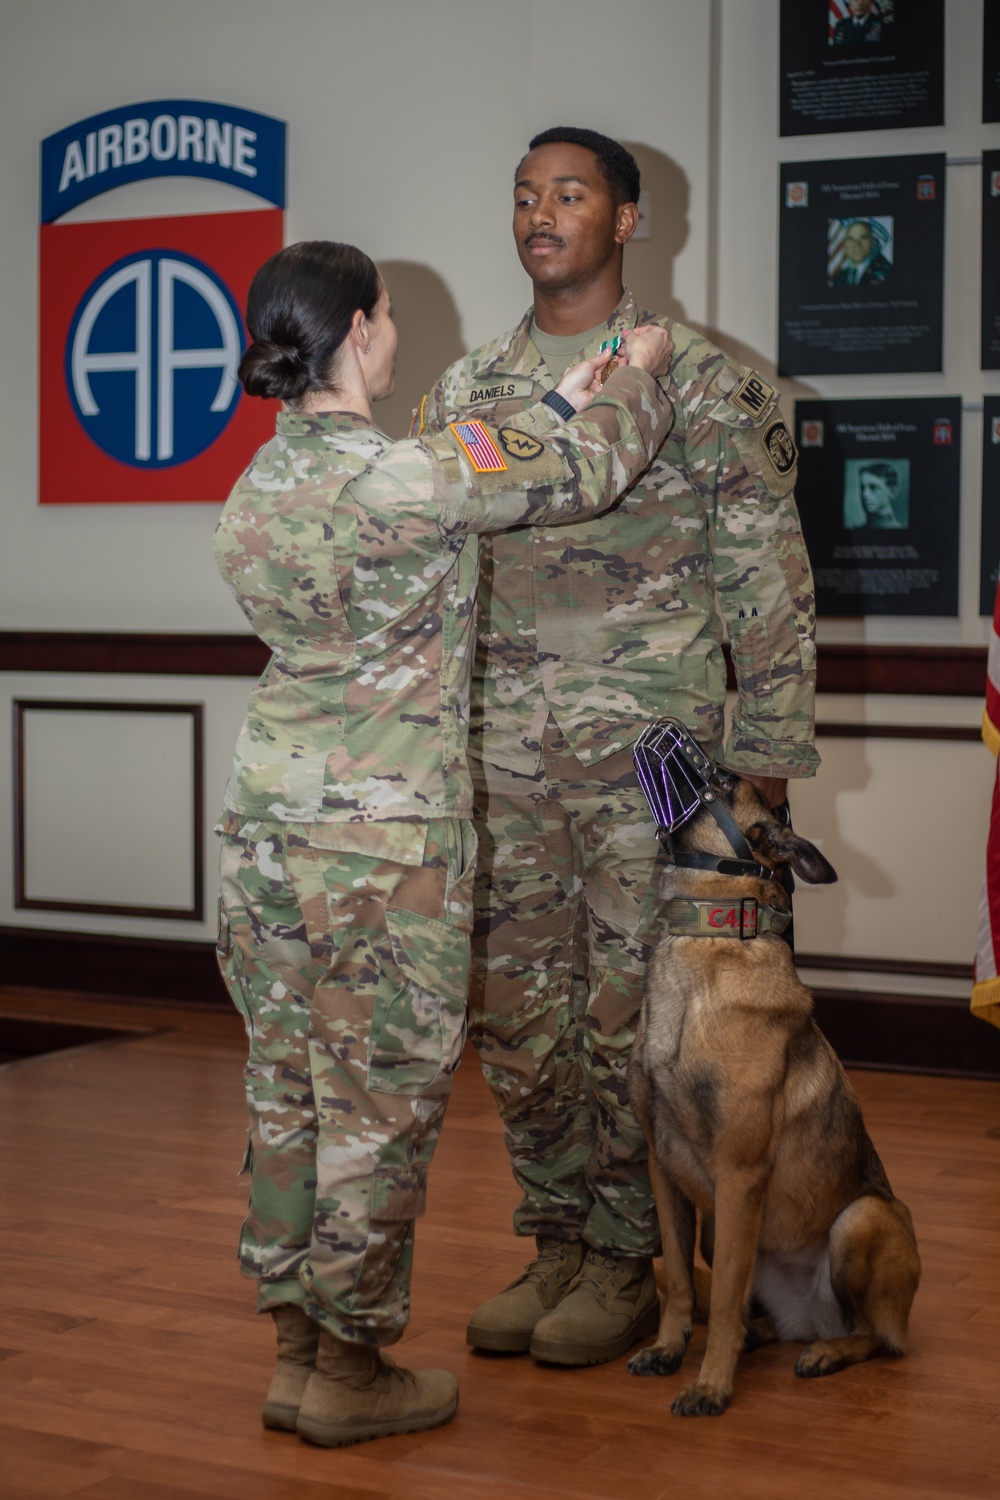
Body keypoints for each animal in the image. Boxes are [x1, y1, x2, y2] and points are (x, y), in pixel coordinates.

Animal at [629, 774, 917, 1416]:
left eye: (721, 781)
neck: (707, 940)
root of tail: (809, 1320)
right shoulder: (663, 1170)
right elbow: (681, 1282)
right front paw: (668, 1349)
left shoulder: (739, 1178)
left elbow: (722, 1297)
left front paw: (711, 1384)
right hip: (720, 1232)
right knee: (748, 1310)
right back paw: (763, 1335)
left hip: (862, 1219)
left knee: (877, 1335)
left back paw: (828, 1352)